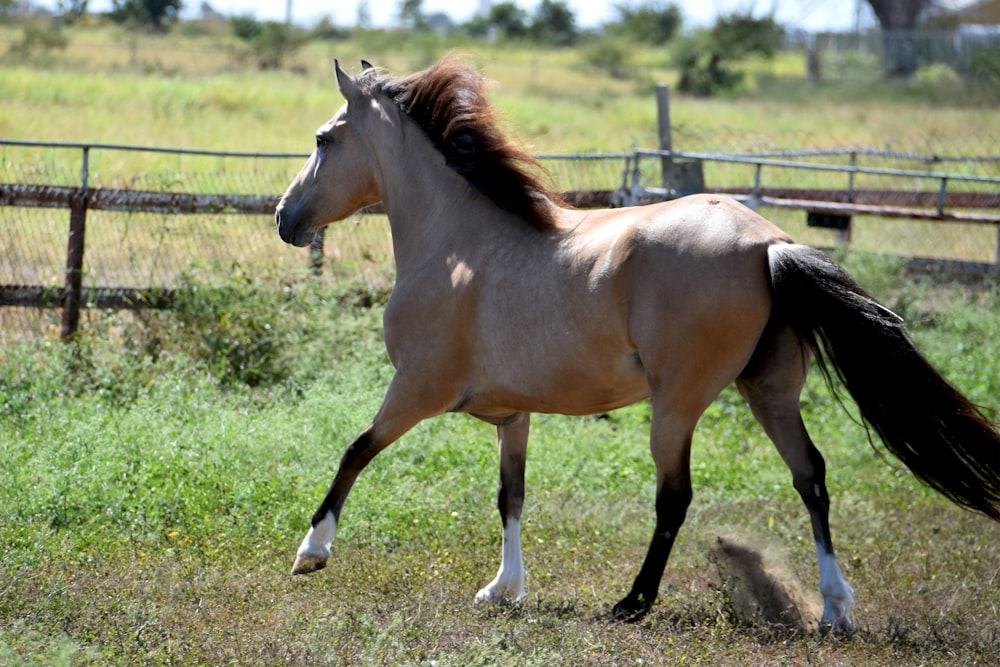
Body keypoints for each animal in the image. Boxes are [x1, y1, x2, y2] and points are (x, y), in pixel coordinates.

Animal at [274, 54, 1000, 628]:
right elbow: (511, 495)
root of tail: (768, 244)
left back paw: (633, 602)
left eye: (323, 138)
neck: (458, 245)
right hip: (770, 391)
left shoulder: (417, 389)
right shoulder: (512, 414)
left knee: (675, 495)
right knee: (812, 476)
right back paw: (835, 607)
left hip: (676, 403)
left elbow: (355, 451)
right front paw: (503, 589)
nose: (285, 218)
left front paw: (312, 552)